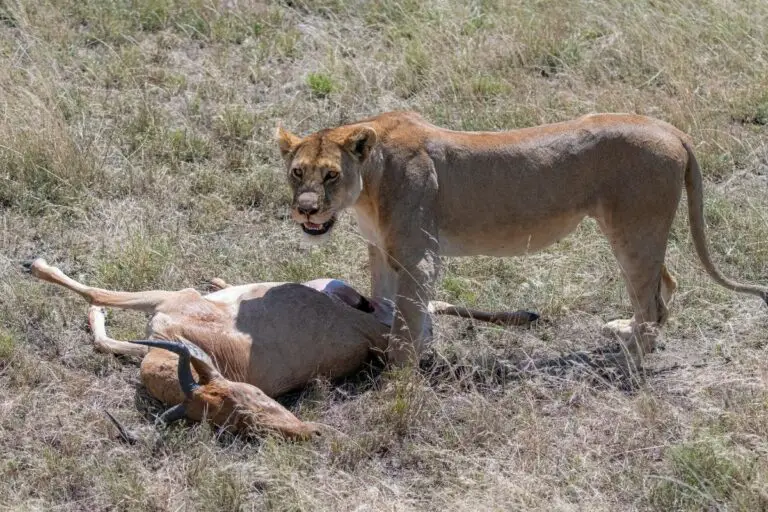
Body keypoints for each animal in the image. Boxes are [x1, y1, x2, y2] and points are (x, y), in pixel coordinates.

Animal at [277, 111, 768, 366]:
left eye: (331, 175)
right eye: (298, 172)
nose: (307, 209)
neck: (367, 187)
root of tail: (670, 129)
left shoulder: (419, 256)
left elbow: (406, 316)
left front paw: (397, 372)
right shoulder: (380, 249)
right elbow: (385, 301)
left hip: (633, 228)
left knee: (650, 300)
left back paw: (630, 360)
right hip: (640, 230)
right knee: (664, 286)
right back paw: (624, 332)